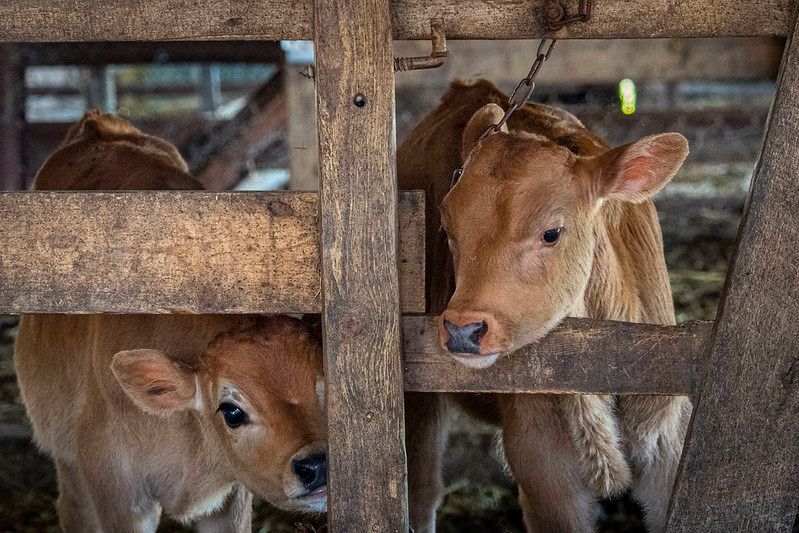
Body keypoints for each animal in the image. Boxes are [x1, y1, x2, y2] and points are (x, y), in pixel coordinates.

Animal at [14, 112, 328, 531]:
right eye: (231, 412)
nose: (316, 465)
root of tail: (98, 123)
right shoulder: (119, 495)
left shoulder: (230, 501)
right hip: (67, 459)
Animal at [398, 80, 691, 532]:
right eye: (446, 227)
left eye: (552, 233)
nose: (463, 330)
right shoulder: (544, 469)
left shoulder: (670, 441)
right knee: (423, 491)